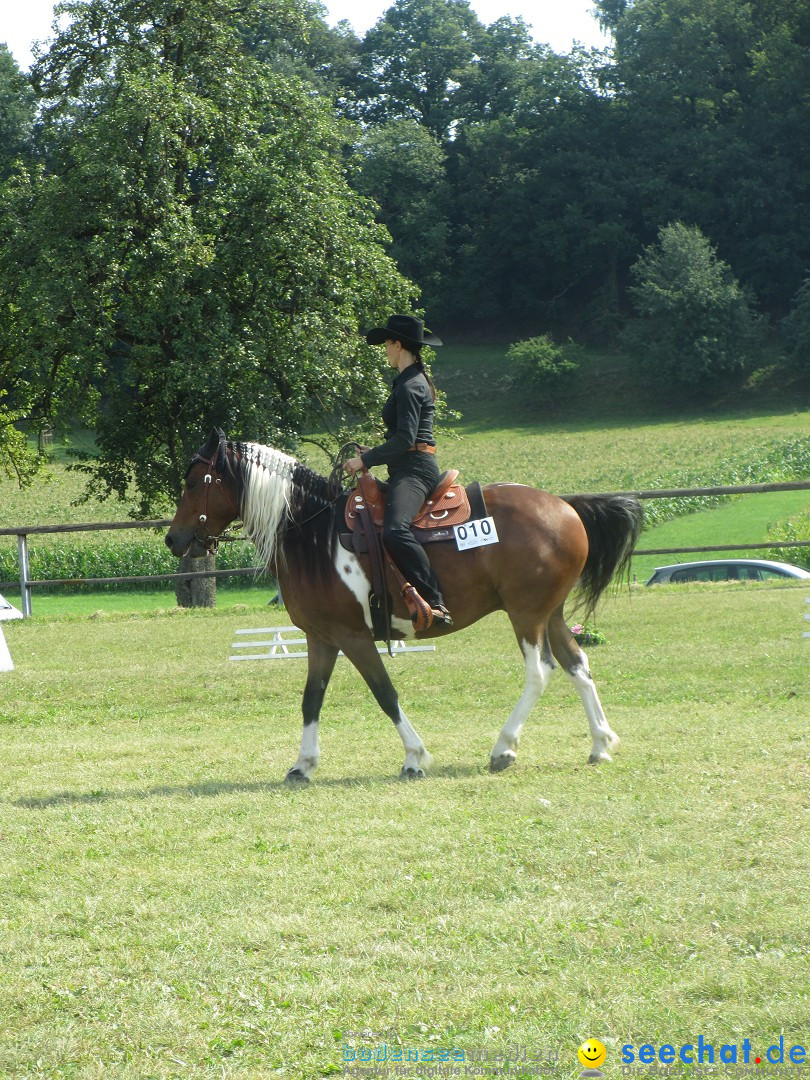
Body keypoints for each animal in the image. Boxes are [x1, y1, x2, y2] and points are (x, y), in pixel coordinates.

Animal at [166, 427, 648, 777]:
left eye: (192, 482)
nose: (173, 539)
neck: (312, 532)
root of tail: (564, 506)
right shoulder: (321, 638)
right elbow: (311, 698)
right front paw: (302, 765)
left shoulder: (353, 637)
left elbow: (384, 692)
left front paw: (415, 756)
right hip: (551, 613)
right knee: (577, 665)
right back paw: (600, 744)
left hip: (526, 614)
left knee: (541, 672)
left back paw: (504, 748)